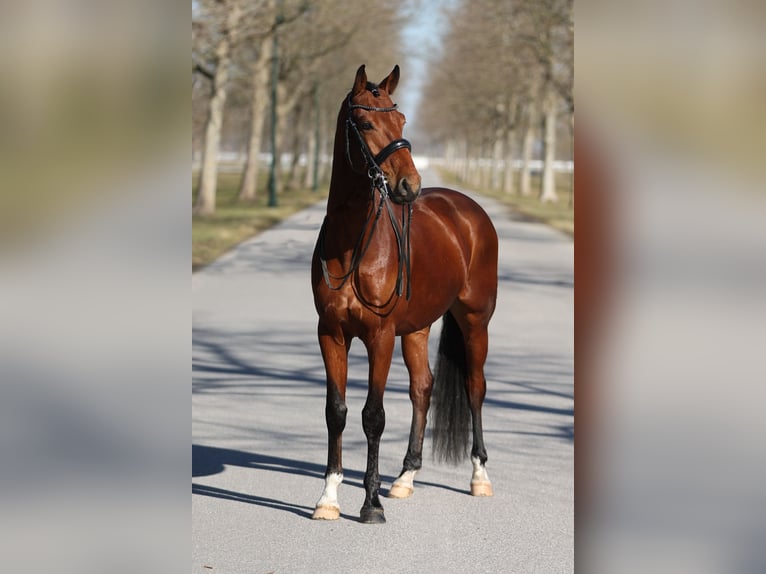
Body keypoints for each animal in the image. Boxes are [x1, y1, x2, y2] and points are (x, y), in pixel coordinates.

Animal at [312, 65, 498, 524]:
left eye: (401, 121)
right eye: (364, 123)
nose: (409, 184)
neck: (352, 247)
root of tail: (467, 210)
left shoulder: (379, 337)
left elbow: (373, 416)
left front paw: (370, 504)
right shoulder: (331, 334)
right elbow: (337, 412)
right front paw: (328, 498)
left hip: (475, 321)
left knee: (474, 386)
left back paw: (479, 477)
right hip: (417, 328)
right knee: (423, 388)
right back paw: (405, 477)